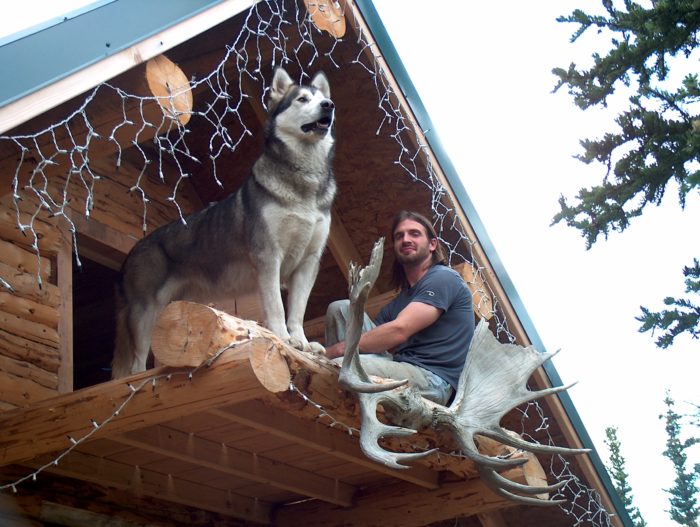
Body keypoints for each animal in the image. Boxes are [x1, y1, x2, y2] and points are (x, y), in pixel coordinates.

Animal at [112, 68, 336, 378]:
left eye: (322, 98)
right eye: (302, 99)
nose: (329, 105)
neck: (304, 184)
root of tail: (133, 250)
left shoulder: (308, 262)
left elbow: (297, 312)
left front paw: (301, 342)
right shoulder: (268, 257)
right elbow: (277, 308)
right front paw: (283, 337)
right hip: (145, 311)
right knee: (136, 363)